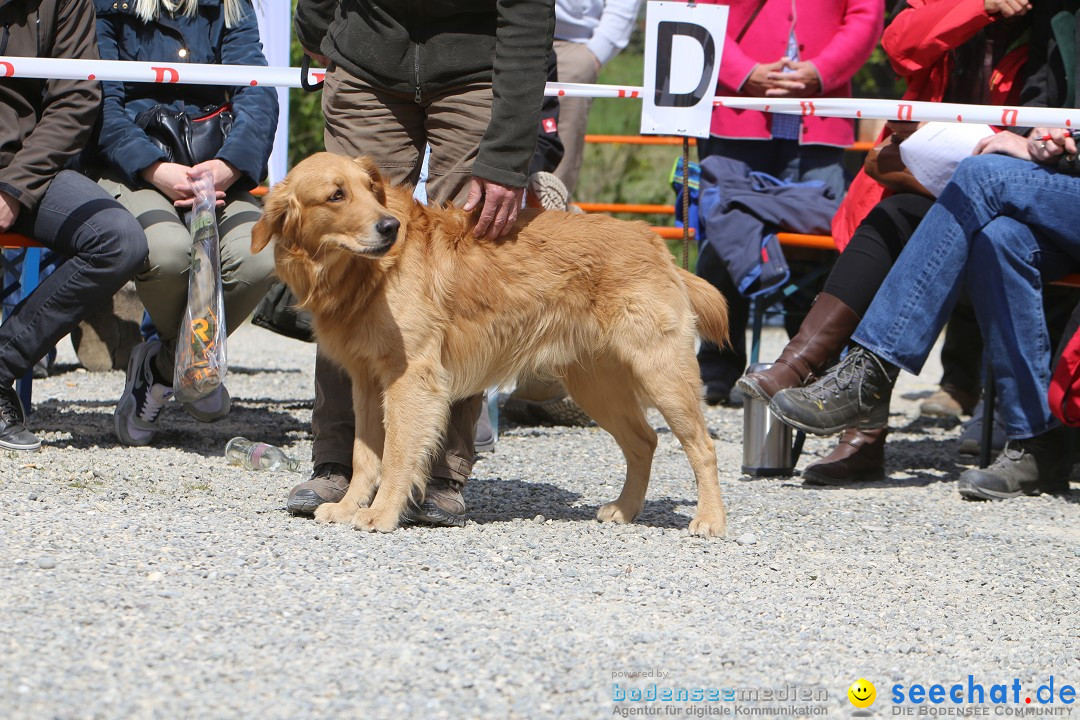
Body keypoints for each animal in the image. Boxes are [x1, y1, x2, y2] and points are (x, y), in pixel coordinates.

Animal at [248, 152, 730, 535]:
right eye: (336, 195)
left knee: (702, 448)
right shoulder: (366, 382)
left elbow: (397, 455)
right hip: (597, 386)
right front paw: (348, 506)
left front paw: (380, 514)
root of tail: (653, 241)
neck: (362, 275)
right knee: (644, 441)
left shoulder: (411, 379)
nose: (389, 227)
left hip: (663, 374)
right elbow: (365, 455)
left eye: (372, 190)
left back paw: (710, 519)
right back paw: (626, 509)